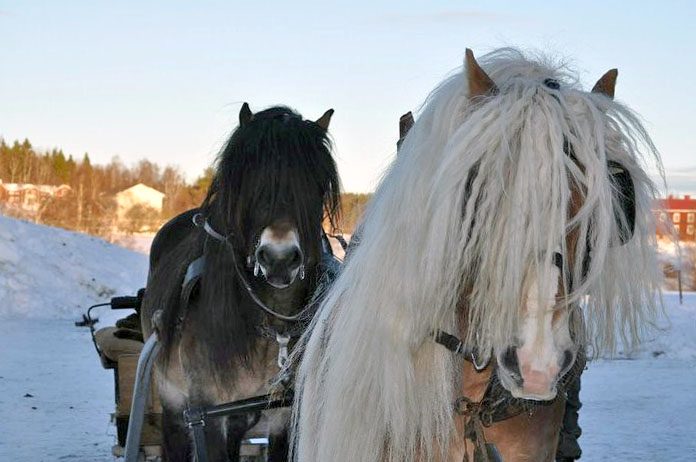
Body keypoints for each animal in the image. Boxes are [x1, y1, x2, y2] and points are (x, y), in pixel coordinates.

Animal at [141, 103, 340, 460]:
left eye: (315, 183)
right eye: (249, 181)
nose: (278, 259)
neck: (271, 330)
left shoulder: (282, 415)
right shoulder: (206, 414)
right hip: (173, 403)